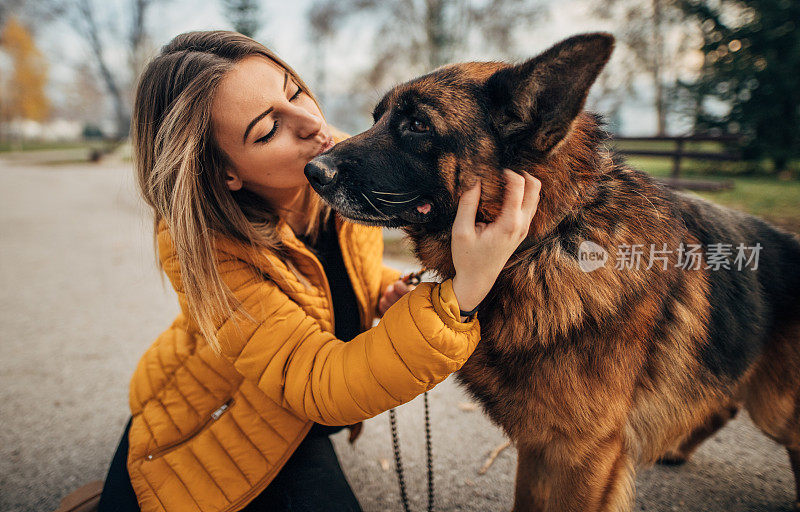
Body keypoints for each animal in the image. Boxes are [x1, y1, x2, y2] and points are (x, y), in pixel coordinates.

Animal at [304, 33, 796, 512]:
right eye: (378, 118)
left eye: (418, 125)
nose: (312, 170)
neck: (546, 239)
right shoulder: (540, 445)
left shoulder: (579, 454)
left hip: (776, 409)